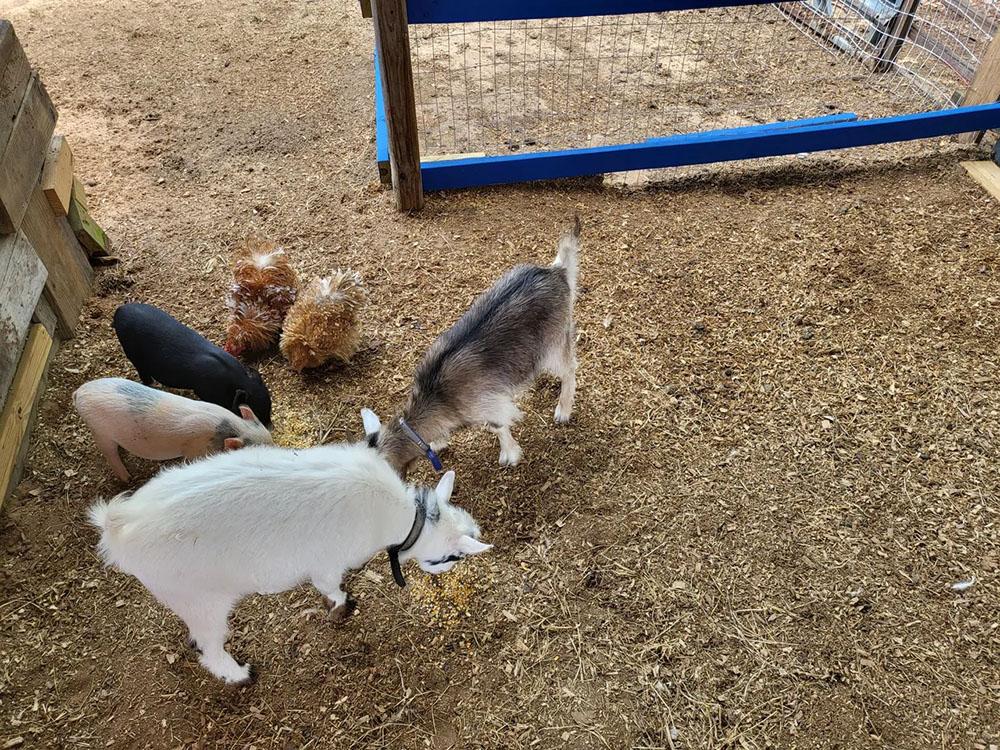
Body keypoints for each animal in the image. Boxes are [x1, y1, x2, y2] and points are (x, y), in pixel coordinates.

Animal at [114, 302, 274, 428]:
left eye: (270, 404)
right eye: (256, 410)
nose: (269, 425)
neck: (237, 381)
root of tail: (120, 310)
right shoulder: (204, 392)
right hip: (132, 354)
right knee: (143, 373)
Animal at [362, 217, 580, 476]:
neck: (438, 394)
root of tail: (556, 271)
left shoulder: (489, 403)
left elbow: (498, 425)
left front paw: (510, 455)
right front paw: (440, 442)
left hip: (554, 342)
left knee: (569, 369)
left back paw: (563, 410)